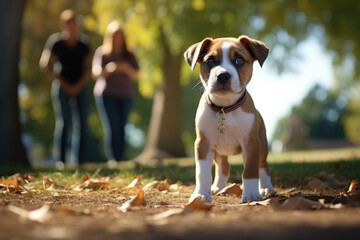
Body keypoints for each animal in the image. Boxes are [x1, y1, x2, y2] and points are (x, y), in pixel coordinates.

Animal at [183, 34, 276, 202]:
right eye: (210, 61)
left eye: (239, 60)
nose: (223, 75)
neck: (224, 108)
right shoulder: (203, 143)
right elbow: (202, 172)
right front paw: (201, 194)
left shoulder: (251, 143)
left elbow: (250, 171)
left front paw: (251, 195)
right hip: (218, 151)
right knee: (223, 166)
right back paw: (218, 187)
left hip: (262, 145)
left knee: (262, 166)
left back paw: (266, 188)